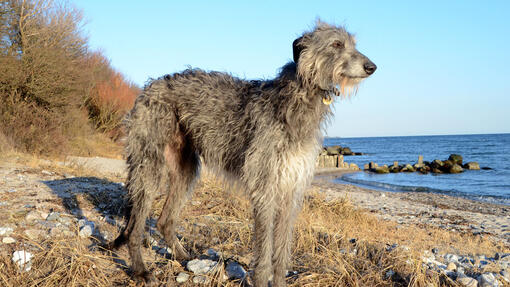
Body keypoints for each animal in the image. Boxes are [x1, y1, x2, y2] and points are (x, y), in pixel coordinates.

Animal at [109, 21, 374, 286]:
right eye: (336, 44)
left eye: (353, 44)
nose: (372, 67)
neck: (298, 96)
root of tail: (150, 87)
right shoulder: (266, 186)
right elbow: (265, 251)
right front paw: (261, 279)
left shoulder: (290, 187)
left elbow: (282, 250)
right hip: (150, 163)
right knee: (135, 228)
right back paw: (141, 270)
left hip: (185, 169)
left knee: (164, 220)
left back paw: (183, 257)